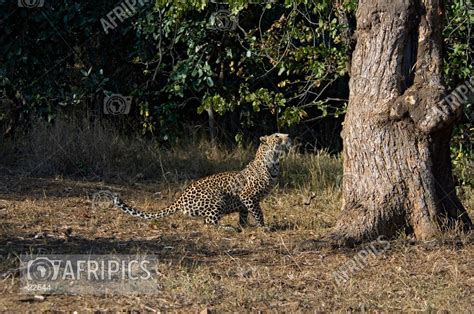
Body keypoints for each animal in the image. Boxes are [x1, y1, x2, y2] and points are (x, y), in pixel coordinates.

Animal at [113, 132, 290, 228]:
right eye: (277, 136)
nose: (288, 136)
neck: (273, 162)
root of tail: (180, 199)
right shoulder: (248, 195)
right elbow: (259, 212)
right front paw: (263, 227)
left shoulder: (245, 201)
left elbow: (245, 213)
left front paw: (245, 225)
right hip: (218, 199)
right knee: (209, 223)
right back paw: (227, 228)